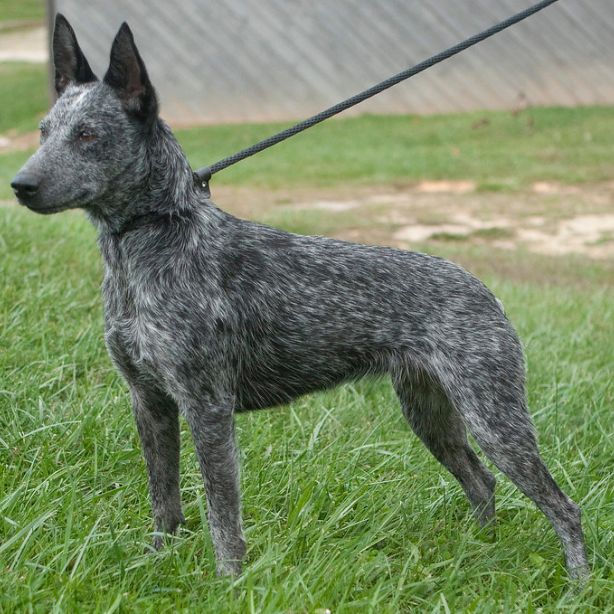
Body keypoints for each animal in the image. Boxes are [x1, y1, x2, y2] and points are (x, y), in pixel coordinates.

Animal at [12, 15, 592, 584]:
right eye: (44, 131)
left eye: (88, 134)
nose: (20, 184)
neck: (155, 241)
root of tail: (482, 288)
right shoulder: (149, 403)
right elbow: (166, 506)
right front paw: (158, 567)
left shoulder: (207, 407)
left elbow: (223, 517)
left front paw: (229, 586)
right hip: (431, 415)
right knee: (482, 482)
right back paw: (481, 553)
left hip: (493, 420)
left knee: (563, 506)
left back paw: (578, 584)